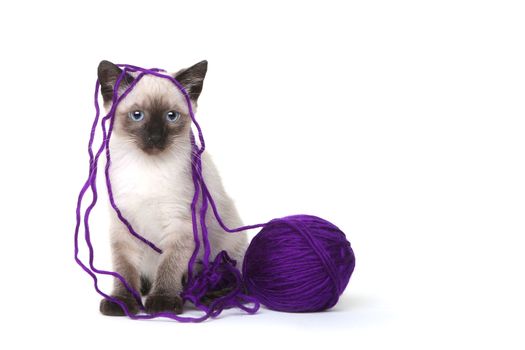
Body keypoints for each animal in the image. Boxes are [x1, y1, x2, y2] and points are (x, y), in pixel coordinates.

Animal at [96, 60, 248, 318]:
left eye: (171, 116)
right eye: (137, 115)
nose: (155, 137)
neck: (147, 168)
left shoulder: (180, 224)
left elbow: (169, 265)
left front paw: (162, 302)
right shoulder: (123, 224)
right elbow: (124, 270)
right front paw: (122, 302)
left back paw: (208, 293)